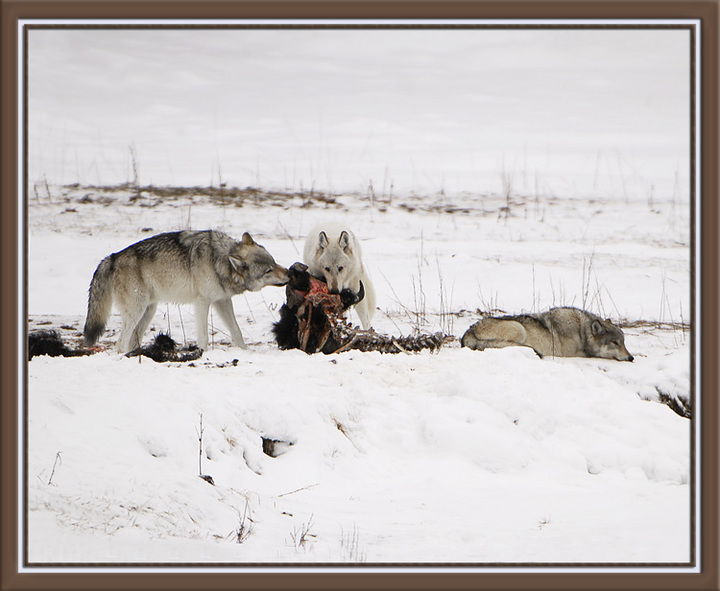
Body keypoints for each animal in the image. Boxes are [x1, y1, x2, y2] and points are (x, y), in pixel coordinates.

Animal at [83, 230, 289, 354]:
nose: (290, 272)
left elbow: (236, 331)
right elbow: (204, 336)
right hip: (137, 310)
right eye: (268, 271)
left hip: (148, 311)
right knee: (120, 343)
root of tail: (112, 257)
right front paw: (203, 354)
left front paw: (245, 351)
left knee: (132, 341)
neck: (219, 261)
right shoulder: (202, 302)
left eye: (274, 262)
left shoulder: (222, 301)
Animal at [460, 307, 634, 361]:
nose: (631, 357)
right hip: (519, 328)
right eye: (615, 342)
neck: (581, 331)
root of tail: (468, 332)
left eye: (624, 342)